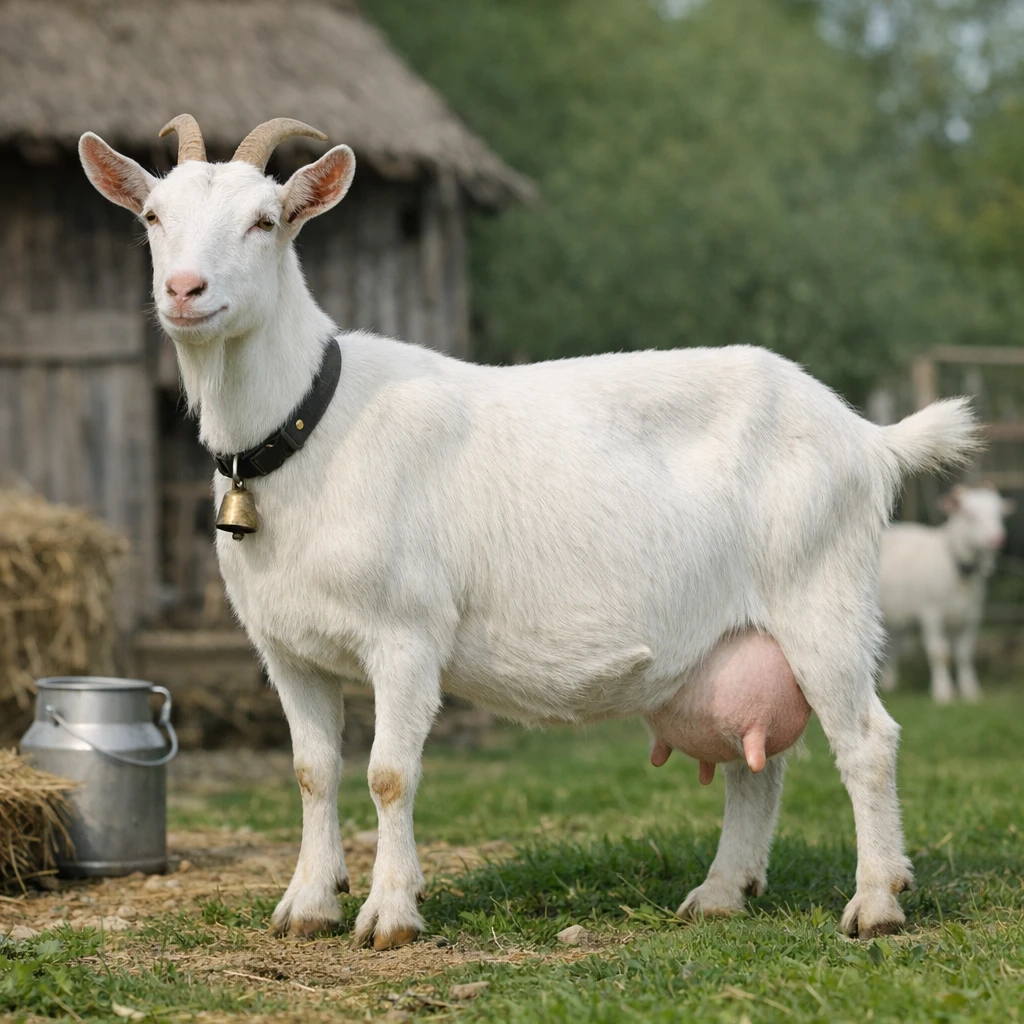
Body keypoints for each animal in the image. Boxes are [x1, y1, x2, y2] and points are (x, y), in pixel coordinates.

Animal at [80, 114, 980, 948]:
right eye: (153, 215)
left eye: (266, 220)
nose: (185, 291)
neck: (310, 424)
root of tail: (866, 436)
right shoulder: (288, 650)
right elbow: (311, 772)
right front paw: (307, 906)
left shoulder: (406, 634)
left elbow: (388, 774)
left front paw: (389, 914)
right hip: (744, 635)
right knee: (757, 764)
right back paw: (722, 892)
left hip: (821, 593)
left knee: (867, 741)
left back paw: (876, 902)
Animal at [880, 485, 1013, 702]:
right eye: (969, 514)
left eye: (999, 514)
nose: (998, 539)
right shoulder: (931, 614)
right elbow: (940, 653)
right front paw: (943, 692)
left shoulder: (970, 617)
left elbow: (964, 653)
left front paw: (970, 691)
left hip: (900, 616)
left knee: (894, 645)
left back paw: (889, 682)